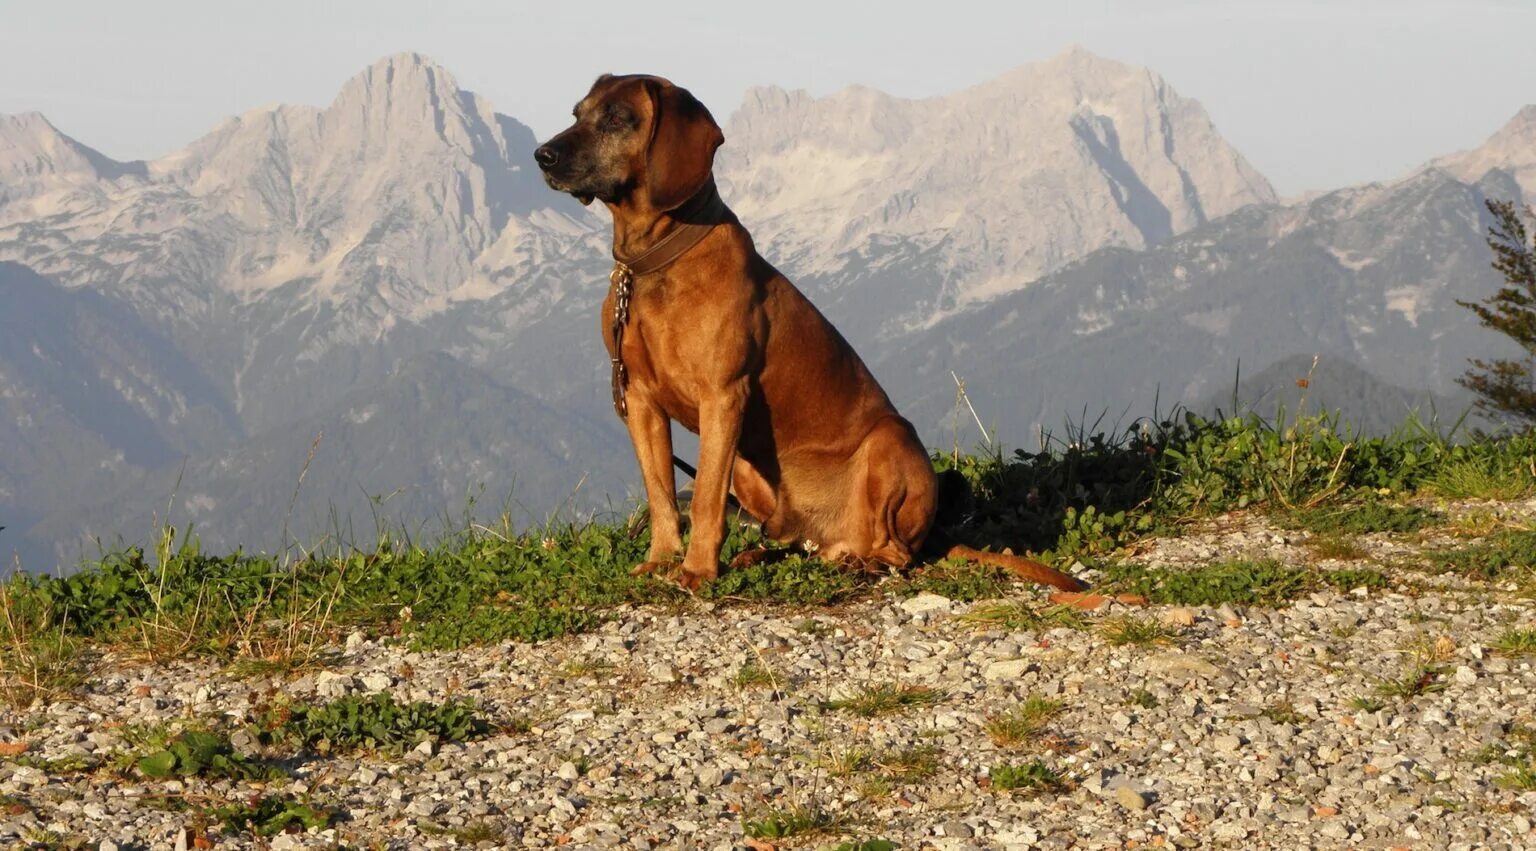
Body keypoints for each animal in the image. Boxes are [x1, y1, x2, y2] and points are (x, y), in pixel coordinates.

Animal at [534, 71, 1087, 589]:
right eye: (578, 112)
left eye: (617, 119)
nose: (543, 155)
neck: (654, 263)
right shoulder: (640, 400)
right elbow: (662, 495)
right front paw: (663, 559)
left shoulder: (722, 396)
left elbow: (704, 498)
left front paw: (695, 571)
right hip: (751, 470)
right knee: (796, 541)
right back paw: (764, 554)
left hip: (889, 442)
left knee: (893, 551)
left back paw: (859, 562)